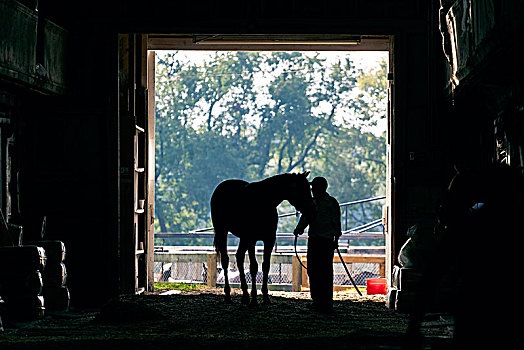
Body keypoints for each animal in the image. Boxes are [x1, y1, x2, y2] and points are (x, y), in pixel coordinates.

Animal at [210, 171, 316, 304]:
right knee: (225, 260)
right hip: (223, 231)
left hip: (243, 238)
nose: (312, 210)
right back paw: (228, 294)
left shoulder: (269, 239)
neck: (263, 201)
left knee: (239, 258)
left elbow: (266, 266)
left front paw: (265, 297)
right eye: (302, 189)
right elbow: (254, 267)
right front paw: (254, 298)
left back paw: (245, 295)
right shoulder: (252, 240)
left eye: (309, 188)